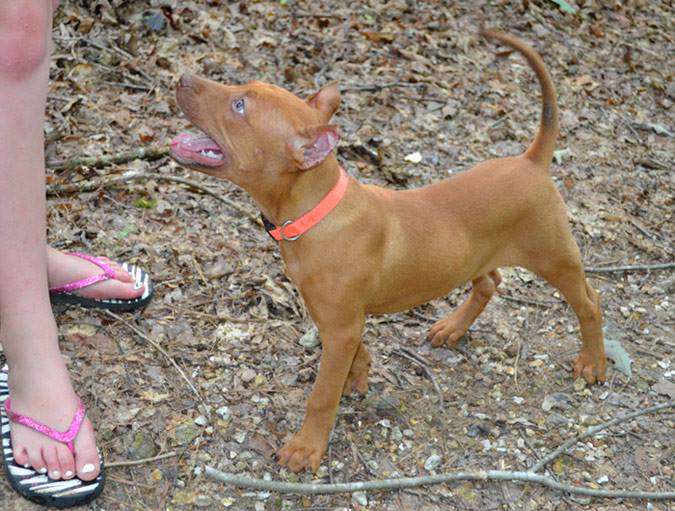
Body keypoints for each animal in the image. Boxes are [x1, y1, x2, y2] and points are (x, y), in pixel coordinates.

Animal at [169, 31, 608, 472]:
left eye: (239, 105)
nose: (182, 76)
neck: (316, 210)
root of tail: (530, 161)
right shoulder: (337, 317)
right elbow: (355, 351)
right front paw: (359, 375)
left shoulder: (342, 323)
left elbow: (321, 395)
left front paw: (307, 447)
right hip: (476, 255)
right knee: (490, 281)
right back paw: (453, 327)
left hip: (555, 257)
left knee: (589, 302)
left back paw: (594, 362)